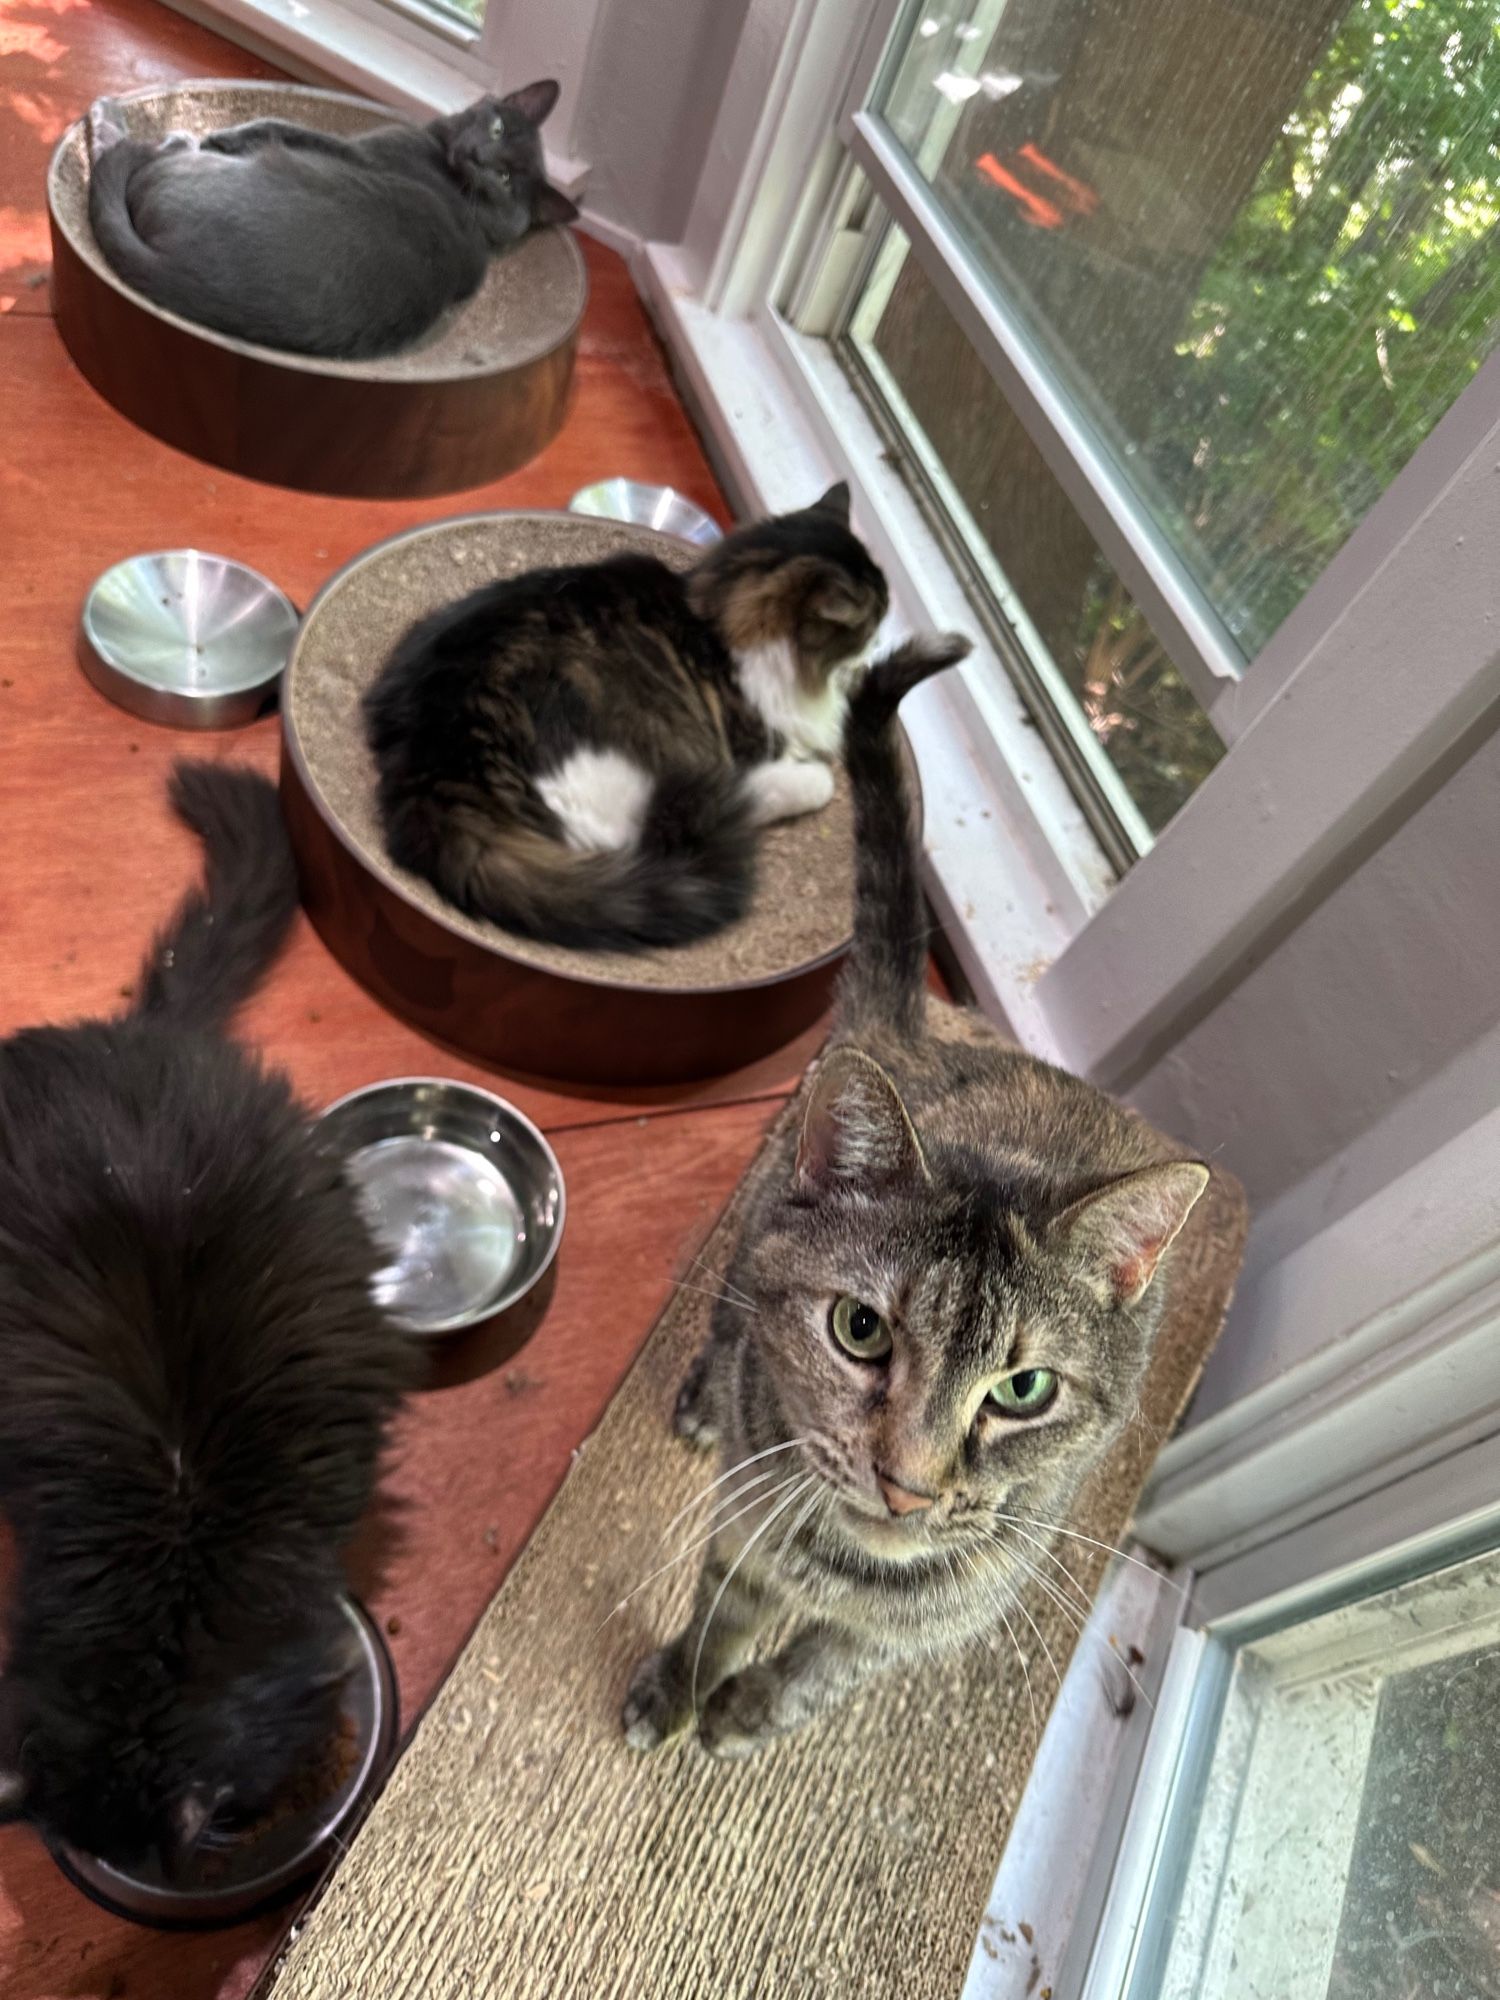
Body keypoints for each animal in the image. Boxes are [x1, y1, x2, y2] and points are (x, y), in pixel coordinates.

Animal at [88, 81, 580, 364]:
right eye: (498, 130)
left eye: (504, 179)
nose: (479, 156)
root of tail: (188, 276)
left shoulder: (356, 150)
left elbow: (279, 123)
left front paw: (226, 133)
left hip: (193, 168)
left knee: (139, 155)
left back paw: (109, 116)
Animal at [364, 482, 892, 952]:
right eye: (875, 620)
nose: (881, 644)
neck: (718, 620)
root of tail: (440, 757)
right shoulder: (752, 748)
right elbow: (806, 775)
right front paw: (817, 773)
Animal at [628, 632, 1216, 1760]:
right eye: (859, 1330)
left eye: (1025, 1389)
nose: (907, 1483)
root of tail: (913, 1032)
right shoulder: (745, 1529)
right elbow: (723, 1610)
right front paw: (680, 1685)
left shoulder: (924, 1623)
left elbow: (824, 1666)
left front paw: (753, 1709)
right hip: (755, 1223)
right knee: (729, 1311)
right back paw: (706, 1391)